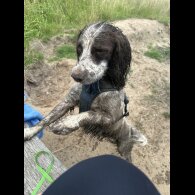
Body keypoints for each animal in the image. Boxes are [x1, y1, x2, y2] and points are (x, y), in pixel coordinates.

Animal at [24, 21, 146, 161]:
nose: (75, 76)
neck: (93, 86)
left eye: (100, 50)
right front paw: (29, 131)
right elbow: (46, 119)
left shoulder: (110, 117)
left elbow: (88, 114)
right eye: (79, 48)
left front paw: (66, 123)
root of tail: (130, 132)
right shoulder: (68, 101)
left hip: (124, 149)